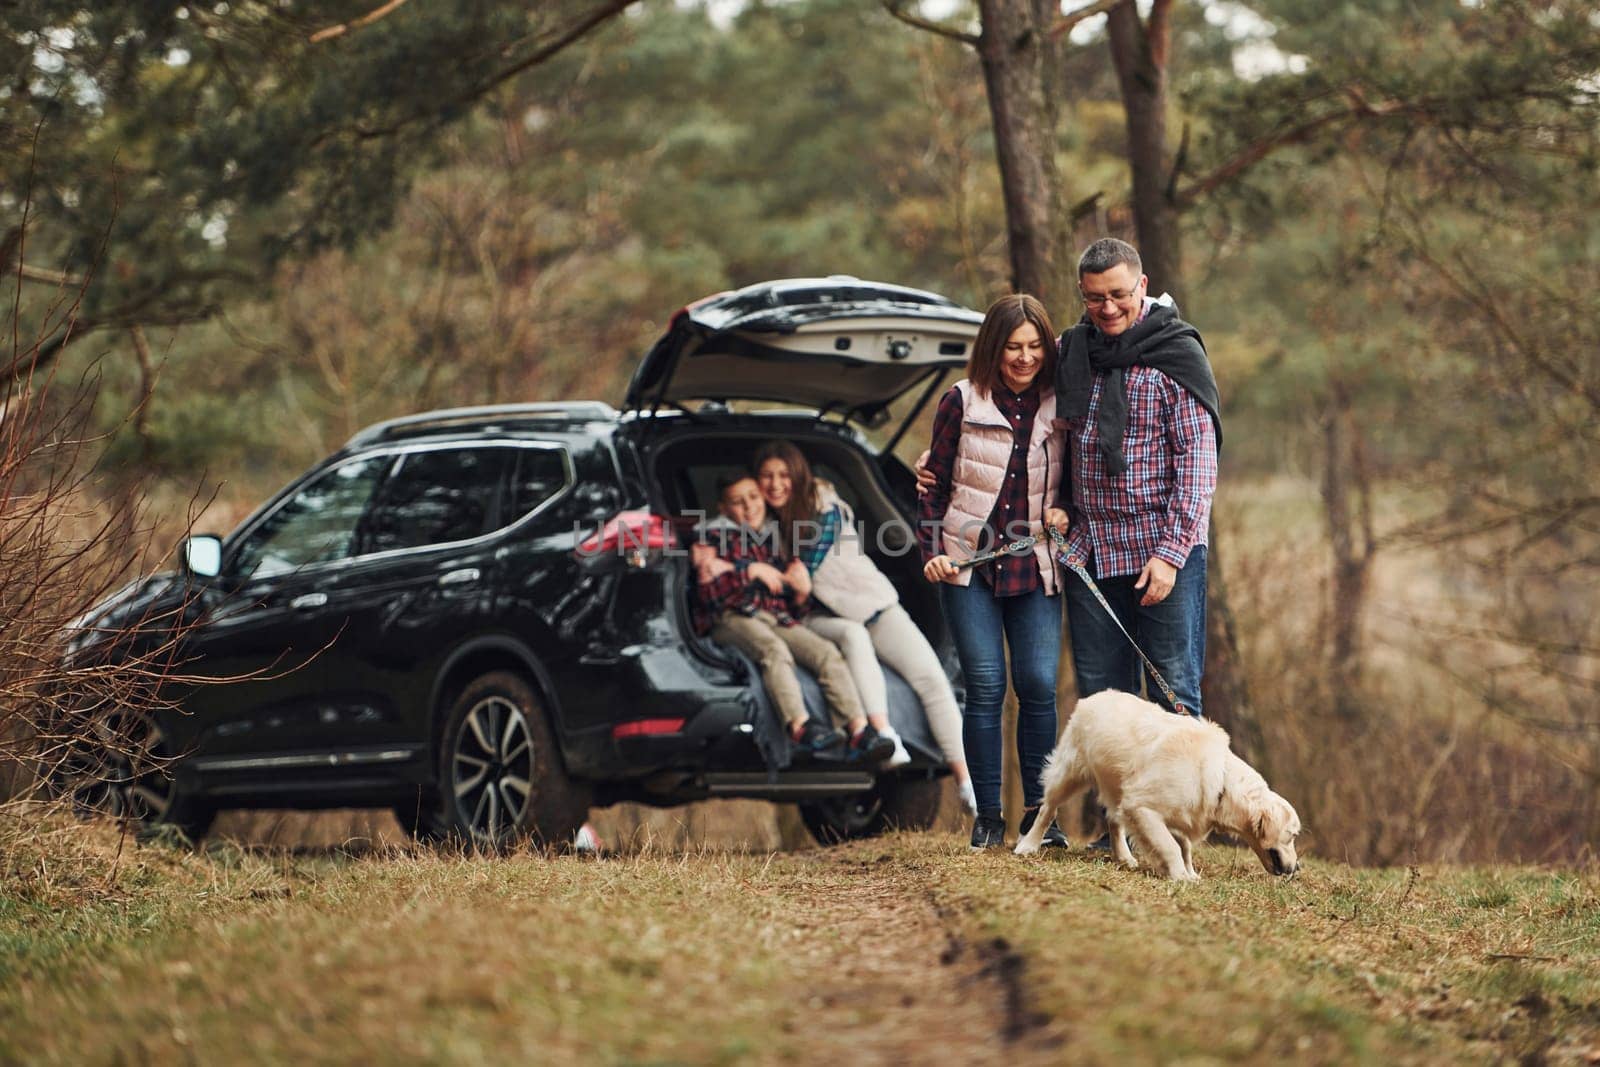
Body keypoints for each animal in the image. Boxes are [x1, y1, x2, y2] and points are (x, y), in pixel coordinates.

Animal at [1011, 687, 1299, 883]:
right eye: (1293, 835)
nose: (1297, 868)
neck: (1221, 781)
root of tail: (1092, 698)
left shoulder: (1178, 814)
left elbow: (1184, 845)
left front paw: (1190, 872)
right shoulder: (1142, 807)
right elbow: (1170, 846)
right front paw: (1180, 876)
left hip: (1117, 788)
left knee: (1114, 820)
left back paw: (1124, 857)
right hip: (1069, 773)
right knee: (1047, 809)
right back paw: (1029, 845)